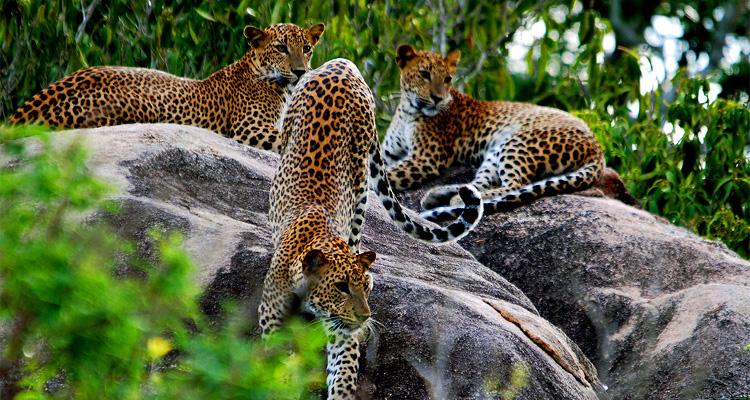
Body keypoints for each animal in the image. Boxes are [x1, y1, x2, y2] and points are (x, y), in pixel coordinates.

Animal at [264, 57, 488, 398]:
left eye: (366, 287)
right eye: (341, 287)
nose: (365, 316)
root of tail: (342, 63)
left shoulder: (341, 330)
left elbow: (343, 371)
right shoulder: (271, 320)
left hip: (361, 185)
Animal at [384, 45, 608, 223]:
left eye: (447, 79)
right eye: (424, 74)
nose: (438, 98)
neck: (407, 110)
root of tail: (598, 147)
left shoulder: (425, 158)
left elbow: (388, 175)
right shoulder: (388, 154)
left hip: (519, 142)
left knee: (515, 185)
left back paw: (454, 200)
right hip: (496, 151)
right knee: (478, 184)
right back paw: (439, 195)